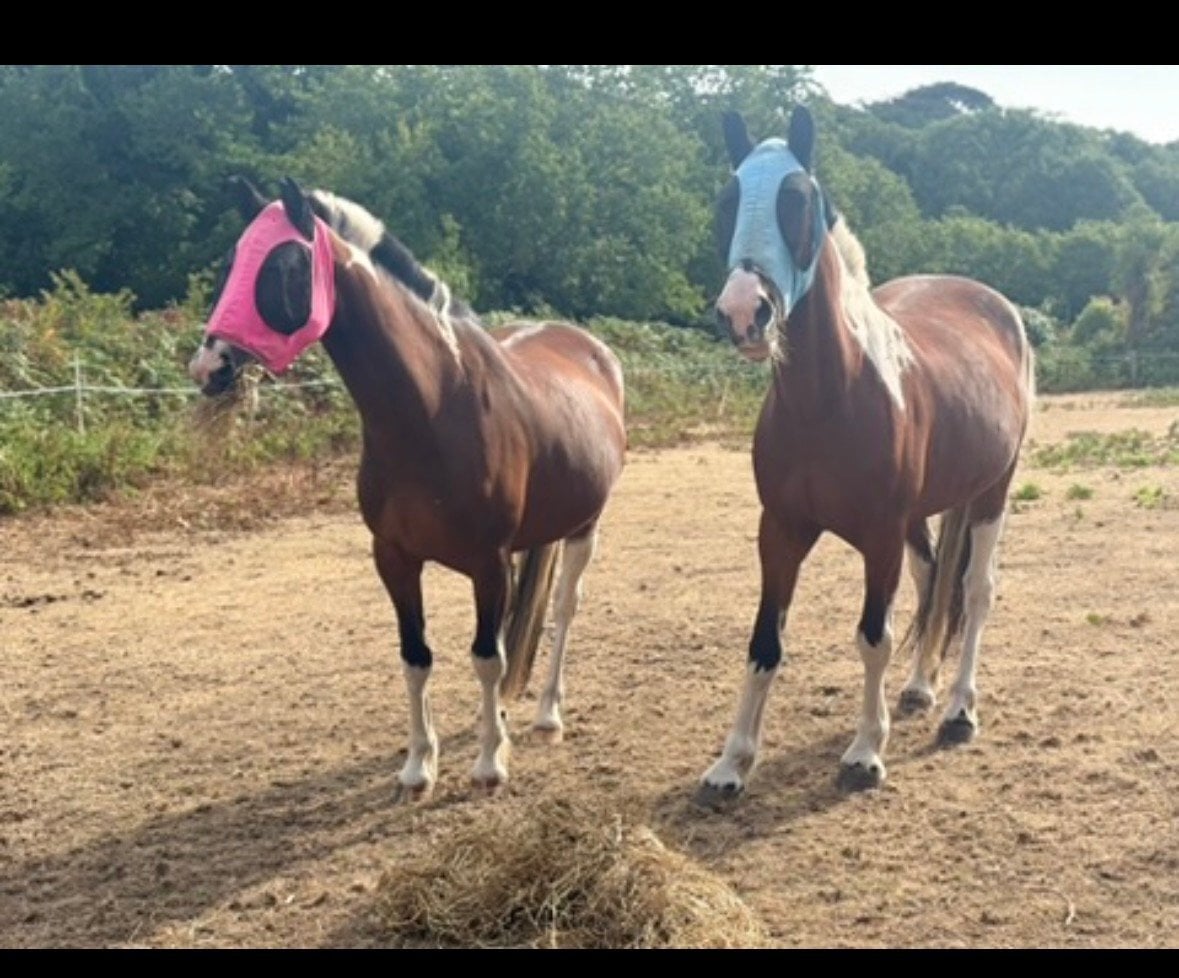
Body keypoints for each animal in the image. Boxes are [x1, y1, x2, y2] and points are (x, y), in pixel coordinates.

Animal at [188, 176, 627, 803]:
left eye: (286, 265)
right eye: (230, 262)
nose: (211, 366)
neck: (434, 407)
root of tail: (590, 346)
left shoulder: (488, 563)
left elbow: (486, 658)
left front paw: (489, 764)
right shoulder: (394, 558)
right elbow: (416, 657)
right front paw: (420, 767)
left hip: (583, 529)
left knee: (564, 609)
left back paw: (546, 715)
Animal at [697, 105, 1034, 806]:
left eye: (799, 200)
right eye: (726, 201)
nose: (744, 313)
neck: (829, 401)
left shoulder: (878, 536)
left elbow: (874, 636)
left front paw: (864, 753)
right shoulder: (781, 531)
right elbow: (764, 642)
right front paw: (732, 762)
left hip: (991, 493)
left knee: (976, 590)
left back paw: (959, 710)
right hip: (924, 515)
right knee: (935, 581)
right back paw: (920, 689)